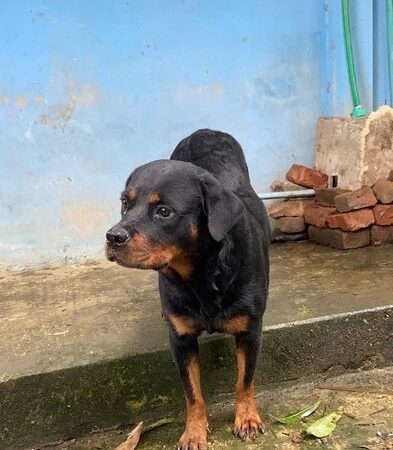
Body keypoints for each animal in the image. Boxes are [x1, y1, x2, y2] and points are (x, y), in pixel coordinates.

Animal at [104, 128, 270, 448]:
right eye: (125, 203)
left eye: (164, 211)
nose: (113, 236)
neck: (201, 276)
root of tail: (206, 131)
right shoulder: (180, 339)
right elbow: (192, 394)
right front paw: (194, 432)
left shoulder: (249, 331)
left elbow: (244, 380)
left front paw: (246, 418)